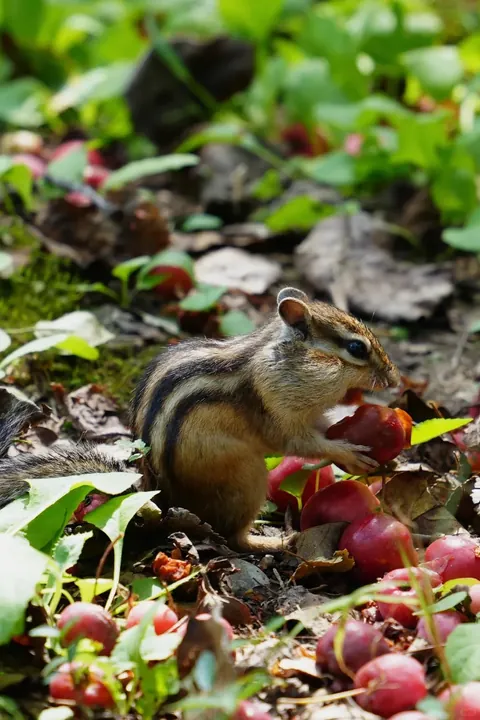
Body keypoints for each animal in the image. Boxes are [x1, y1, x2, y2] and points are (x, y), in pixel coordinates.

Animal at [0, 287, 399, 553]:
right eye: (356, 348)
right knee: (235, 538)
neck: (280, 357)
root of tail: (161, 501)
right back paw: (276, 541)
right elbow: (300, 443)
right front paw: (348, 453)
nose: (395, 380)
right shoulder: (276, 408)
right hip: (246, 478)